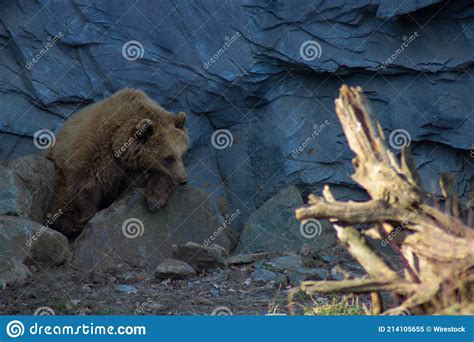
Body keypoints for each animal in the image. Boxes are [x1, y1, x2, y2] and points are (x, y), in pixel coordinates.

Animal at [45, 88, 190, 238]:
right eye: (169, 158)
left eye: (183, 154)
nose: (184, 180)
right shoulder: (92, 153)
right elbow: (84, 185)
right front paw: (85, 219)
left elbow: (159, 177)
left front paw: (155, 200)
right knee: (61, 195)